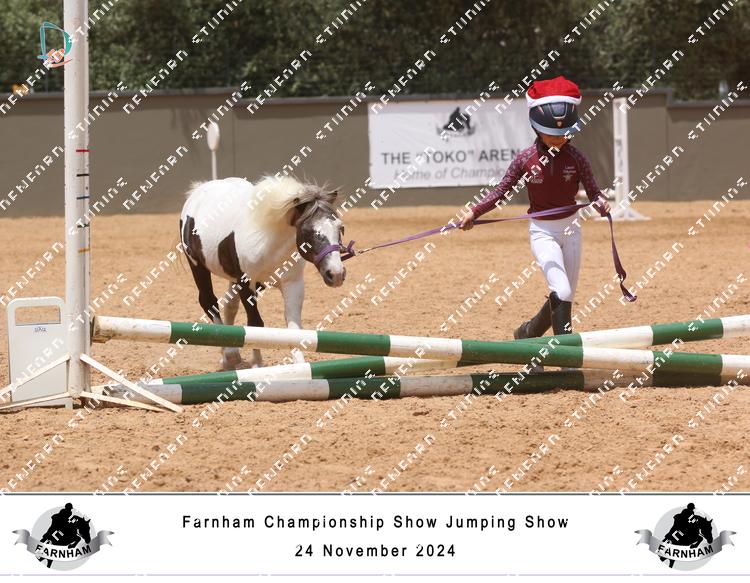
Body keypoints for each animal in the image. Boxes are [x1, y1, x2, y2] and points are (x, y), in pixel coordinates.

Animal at [180, 175, 346, 369]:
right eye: (308, 231)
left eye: (340, 228)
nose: (336, 273)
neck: (268, 237)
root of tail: (198, 191)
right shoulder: (246, 282)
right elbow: (255, 323)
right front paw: (257, 364)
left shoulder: (293, 284)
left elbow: (293, 328)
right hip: (197, 265)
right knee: (208, 301)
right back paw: (230, 353)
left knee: (230, 307)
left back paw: (227, 358)